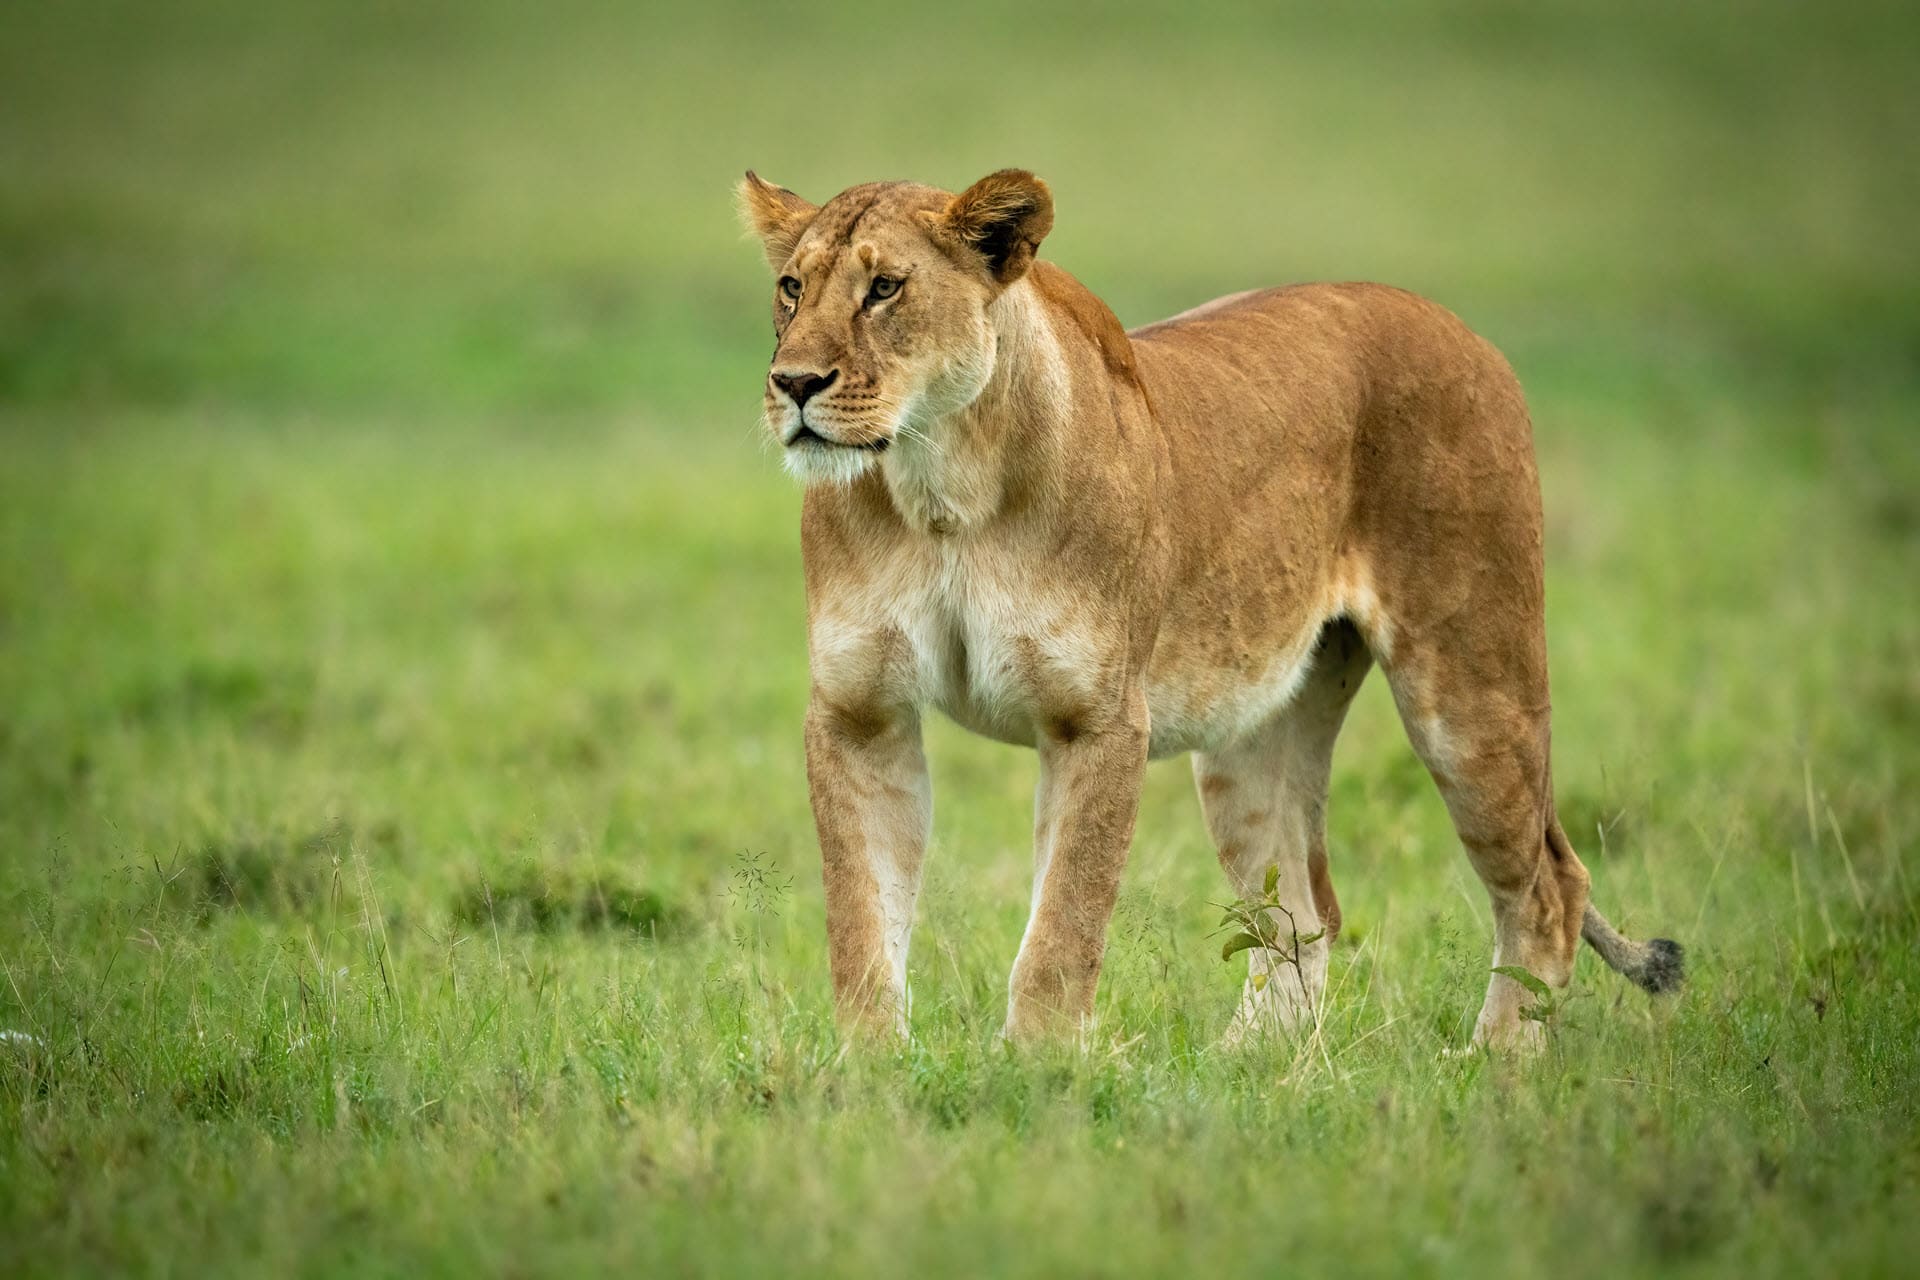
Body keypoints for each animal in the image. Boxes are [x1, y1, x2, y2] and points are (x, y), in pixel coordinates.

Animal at [737, 168, 1683, 1049]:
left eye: (884, 288)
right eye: (791, 286)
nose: (794, 383)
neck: (940, 488)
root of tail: (1463, 329)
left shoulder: (1098, 719)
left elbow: (1065, 922)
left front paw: (1037, 1066)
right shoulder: (861, 711)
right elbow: (862, 916)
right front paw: (870, 1066)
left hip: (1470, 688)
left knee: (1549, 888)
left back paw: (1493, 1062)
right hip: (1253, 736)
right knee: (1305, 911)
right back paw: (1243, 1070)